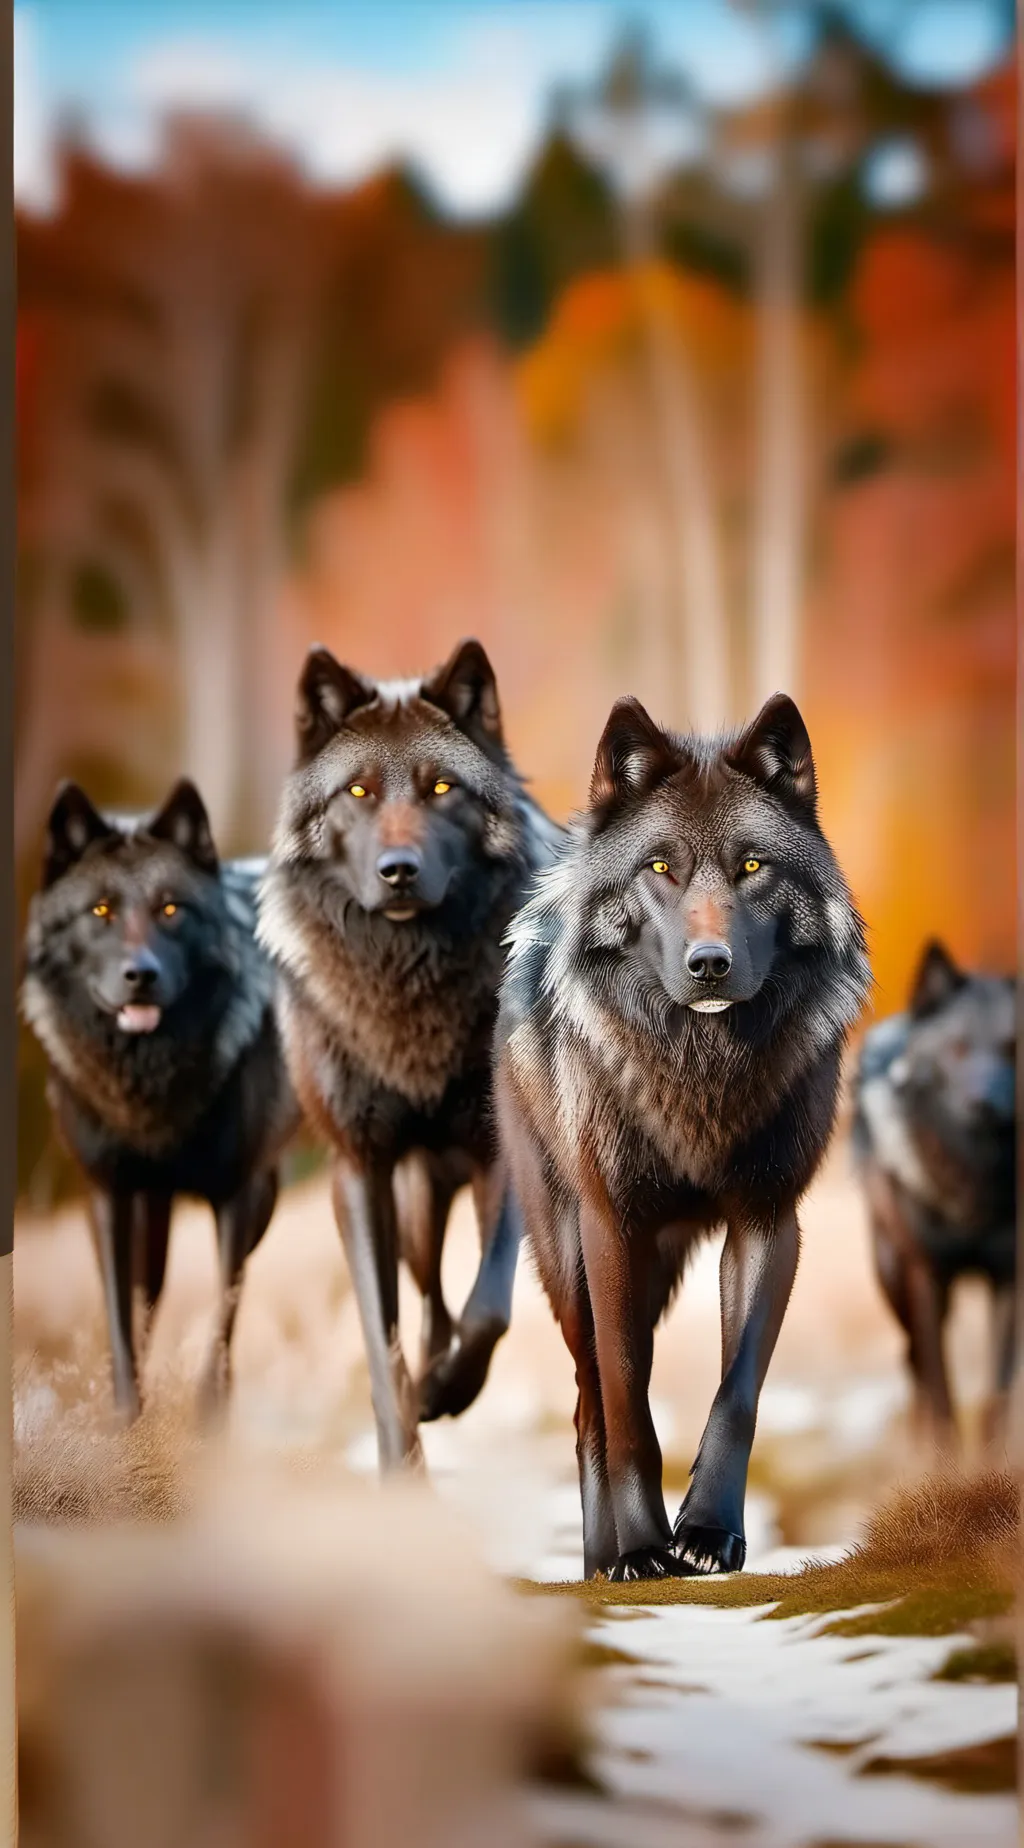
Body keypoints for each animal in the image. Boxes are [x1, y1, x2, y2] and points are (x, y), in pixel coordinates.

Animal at [21, 779, 299, 1420]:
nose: (139, 975)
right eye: (100, 911)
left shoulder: (241, 1192)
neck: (148, 1086)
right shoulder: (108, 1194)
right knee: (148, 1300)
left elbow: (223, 1313)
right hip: (157, 1214)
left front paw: (209, 1421)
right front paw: (127, 1420)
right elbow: (121, 1323)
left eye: (171, 909)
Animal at [257, 637, 564, 1470]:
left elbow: (489, 1308)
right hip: (415, 1203)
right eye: (359, 791)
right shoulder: (358, 1171)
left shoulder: (505, 1154)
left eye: (441, 788)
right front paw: (403, 1465)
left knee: (448, 1307)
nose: (398, 870)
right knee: (425, 1300)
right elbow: (380, 1342)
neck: (407, 981)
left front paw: (449, 1390)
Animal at [496, 693, 871, 1581]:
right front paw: (641, 1546)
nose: (709, 963)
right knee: (588, 1405)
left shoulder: (769, 1222)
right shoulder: (612, 1227)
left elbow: (736, 1392)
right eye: (661, 868)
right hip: (566, 1260)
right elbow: (627, 1399)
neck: (700, 1070)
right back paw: (602, 1561)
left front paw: (707, 1531)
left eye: (752, 867)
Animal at [852, 940, 1016, 1445]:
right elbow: (941, 1386)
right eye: (958, 1048)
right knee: (913, 1359)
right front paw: (944, 1458)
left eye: (1014, 1048)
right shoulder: (925, 1276)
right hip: (892, 1276)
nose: (986, 1106)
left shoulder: (1011, 1279)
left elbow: (997, 1393)